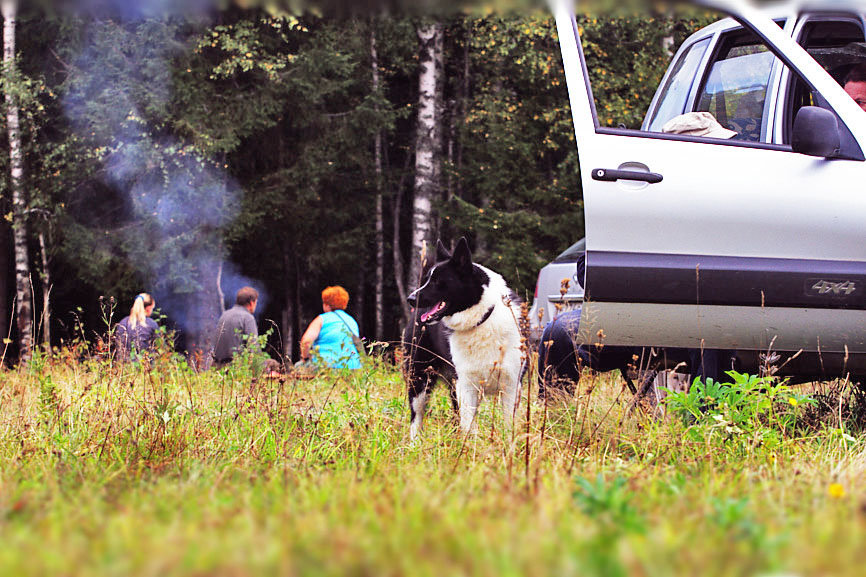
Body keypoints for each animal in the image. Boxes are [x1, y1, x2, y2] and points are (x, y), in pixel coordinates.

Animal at [404, 237, 520, 436]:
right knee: (416, 418)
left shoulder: (511, 386)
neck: (482, 319)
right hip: (419, 379)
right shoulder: (466, 386)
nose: (411, 299)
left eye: (437, 280)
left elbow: (509, 428)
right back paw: (414, 443)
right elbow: (470, 429)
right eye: (426, 280)